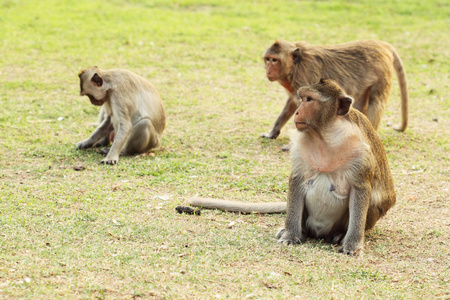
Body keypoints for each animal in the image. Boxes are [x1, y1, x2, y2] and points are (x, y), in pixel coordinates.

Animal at [188, 78, 396, 254]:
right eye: (302, 98)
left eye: (309, 99)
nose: (297, 111)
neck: (325, 136)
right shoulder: (300, 145)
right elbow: (297, 180)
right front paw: (290, 235)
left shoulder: (360, 151)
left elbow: (361, 190)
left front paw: (352, 245)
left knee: (374, 199)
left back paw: (338, 235)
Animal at [260, 39, 408, 141]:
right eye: (268, 59)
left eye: (274, 60)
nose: (268, 71)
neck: (295, 66)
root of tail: (381, 44)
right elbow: (291, 105)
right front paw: (272, 133)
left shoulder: (304, 77)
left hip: (381, 73)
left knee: (376, 104)